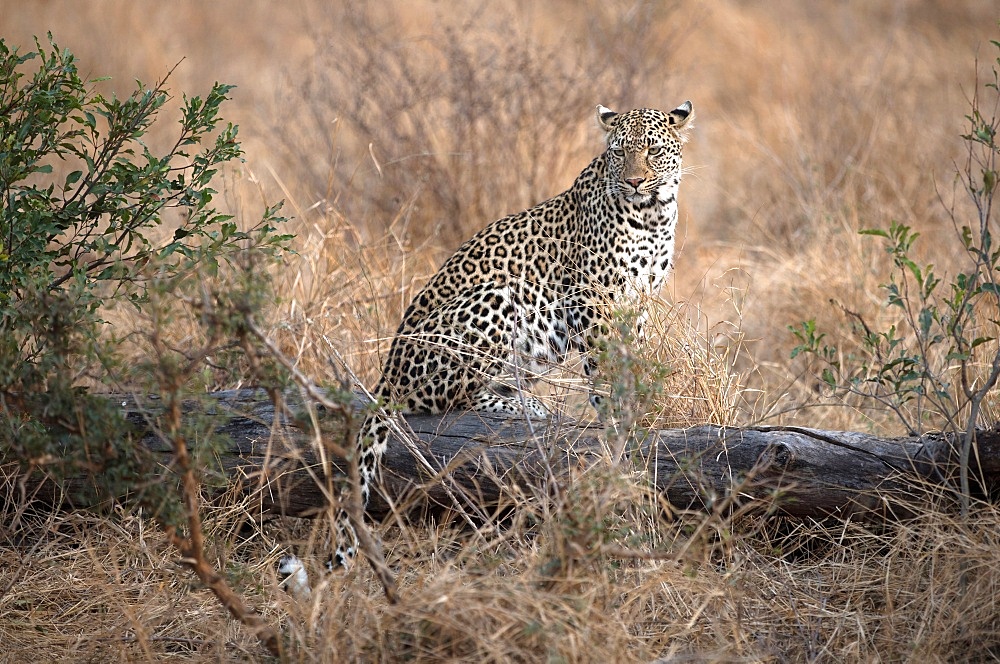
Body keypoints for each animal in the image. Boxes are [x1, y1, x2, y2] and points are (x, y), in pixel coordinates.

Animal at [278, 100, 692, 588]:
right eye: (619, 152)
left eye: (653, 151)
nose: (634, 181)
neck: (652, 215)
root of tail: (386, 374)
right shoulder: (590, 298)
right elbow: (605, 369)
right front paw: (617, 415)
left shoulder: (637, 304)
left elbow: (634, 362)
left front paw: (639, 408)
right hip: (499, 296)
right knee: (457, 400)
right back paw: (525, 407)